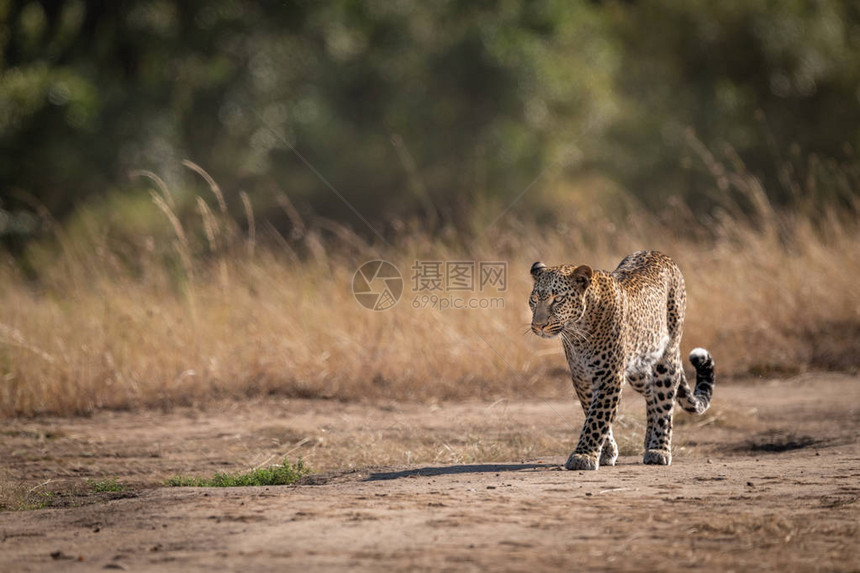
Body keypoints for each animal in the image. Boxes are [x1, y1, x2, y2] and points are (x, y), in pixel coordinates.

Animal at [528, 250, 716, 470]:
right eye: (534, 299)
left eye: (557, 299)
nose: (538, 325)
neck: (578, 330)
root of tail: (658, 253)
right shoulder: (582, 378)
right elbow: (593, 412)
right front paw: (606, 452)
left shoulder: (610, 376)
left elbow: (597, 417)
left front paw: (583, 455)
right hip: (638, 369)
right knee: (651, 392)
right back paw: (648, 439)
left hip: (667, 355)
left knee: (665, 402)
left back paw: (659, 449)